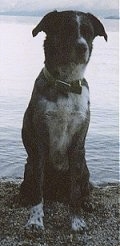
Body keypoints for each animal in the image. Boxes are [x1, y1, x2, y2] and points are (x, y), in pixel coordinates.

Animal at [20, 10, 107, 232]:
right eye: (66, 29)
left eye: (88, 32)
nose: (82, 47)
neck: (66, 84)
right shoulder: (40, 144)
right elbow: (38, 190)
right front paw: (35, 219)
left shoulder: (77, 146)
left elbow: (75, 190)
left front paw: (76, 221)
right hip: (29, 167)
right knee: (31, 187)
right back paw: (24, 198)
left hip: (85, 168)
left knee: (83, 189)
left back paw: (87, 202)